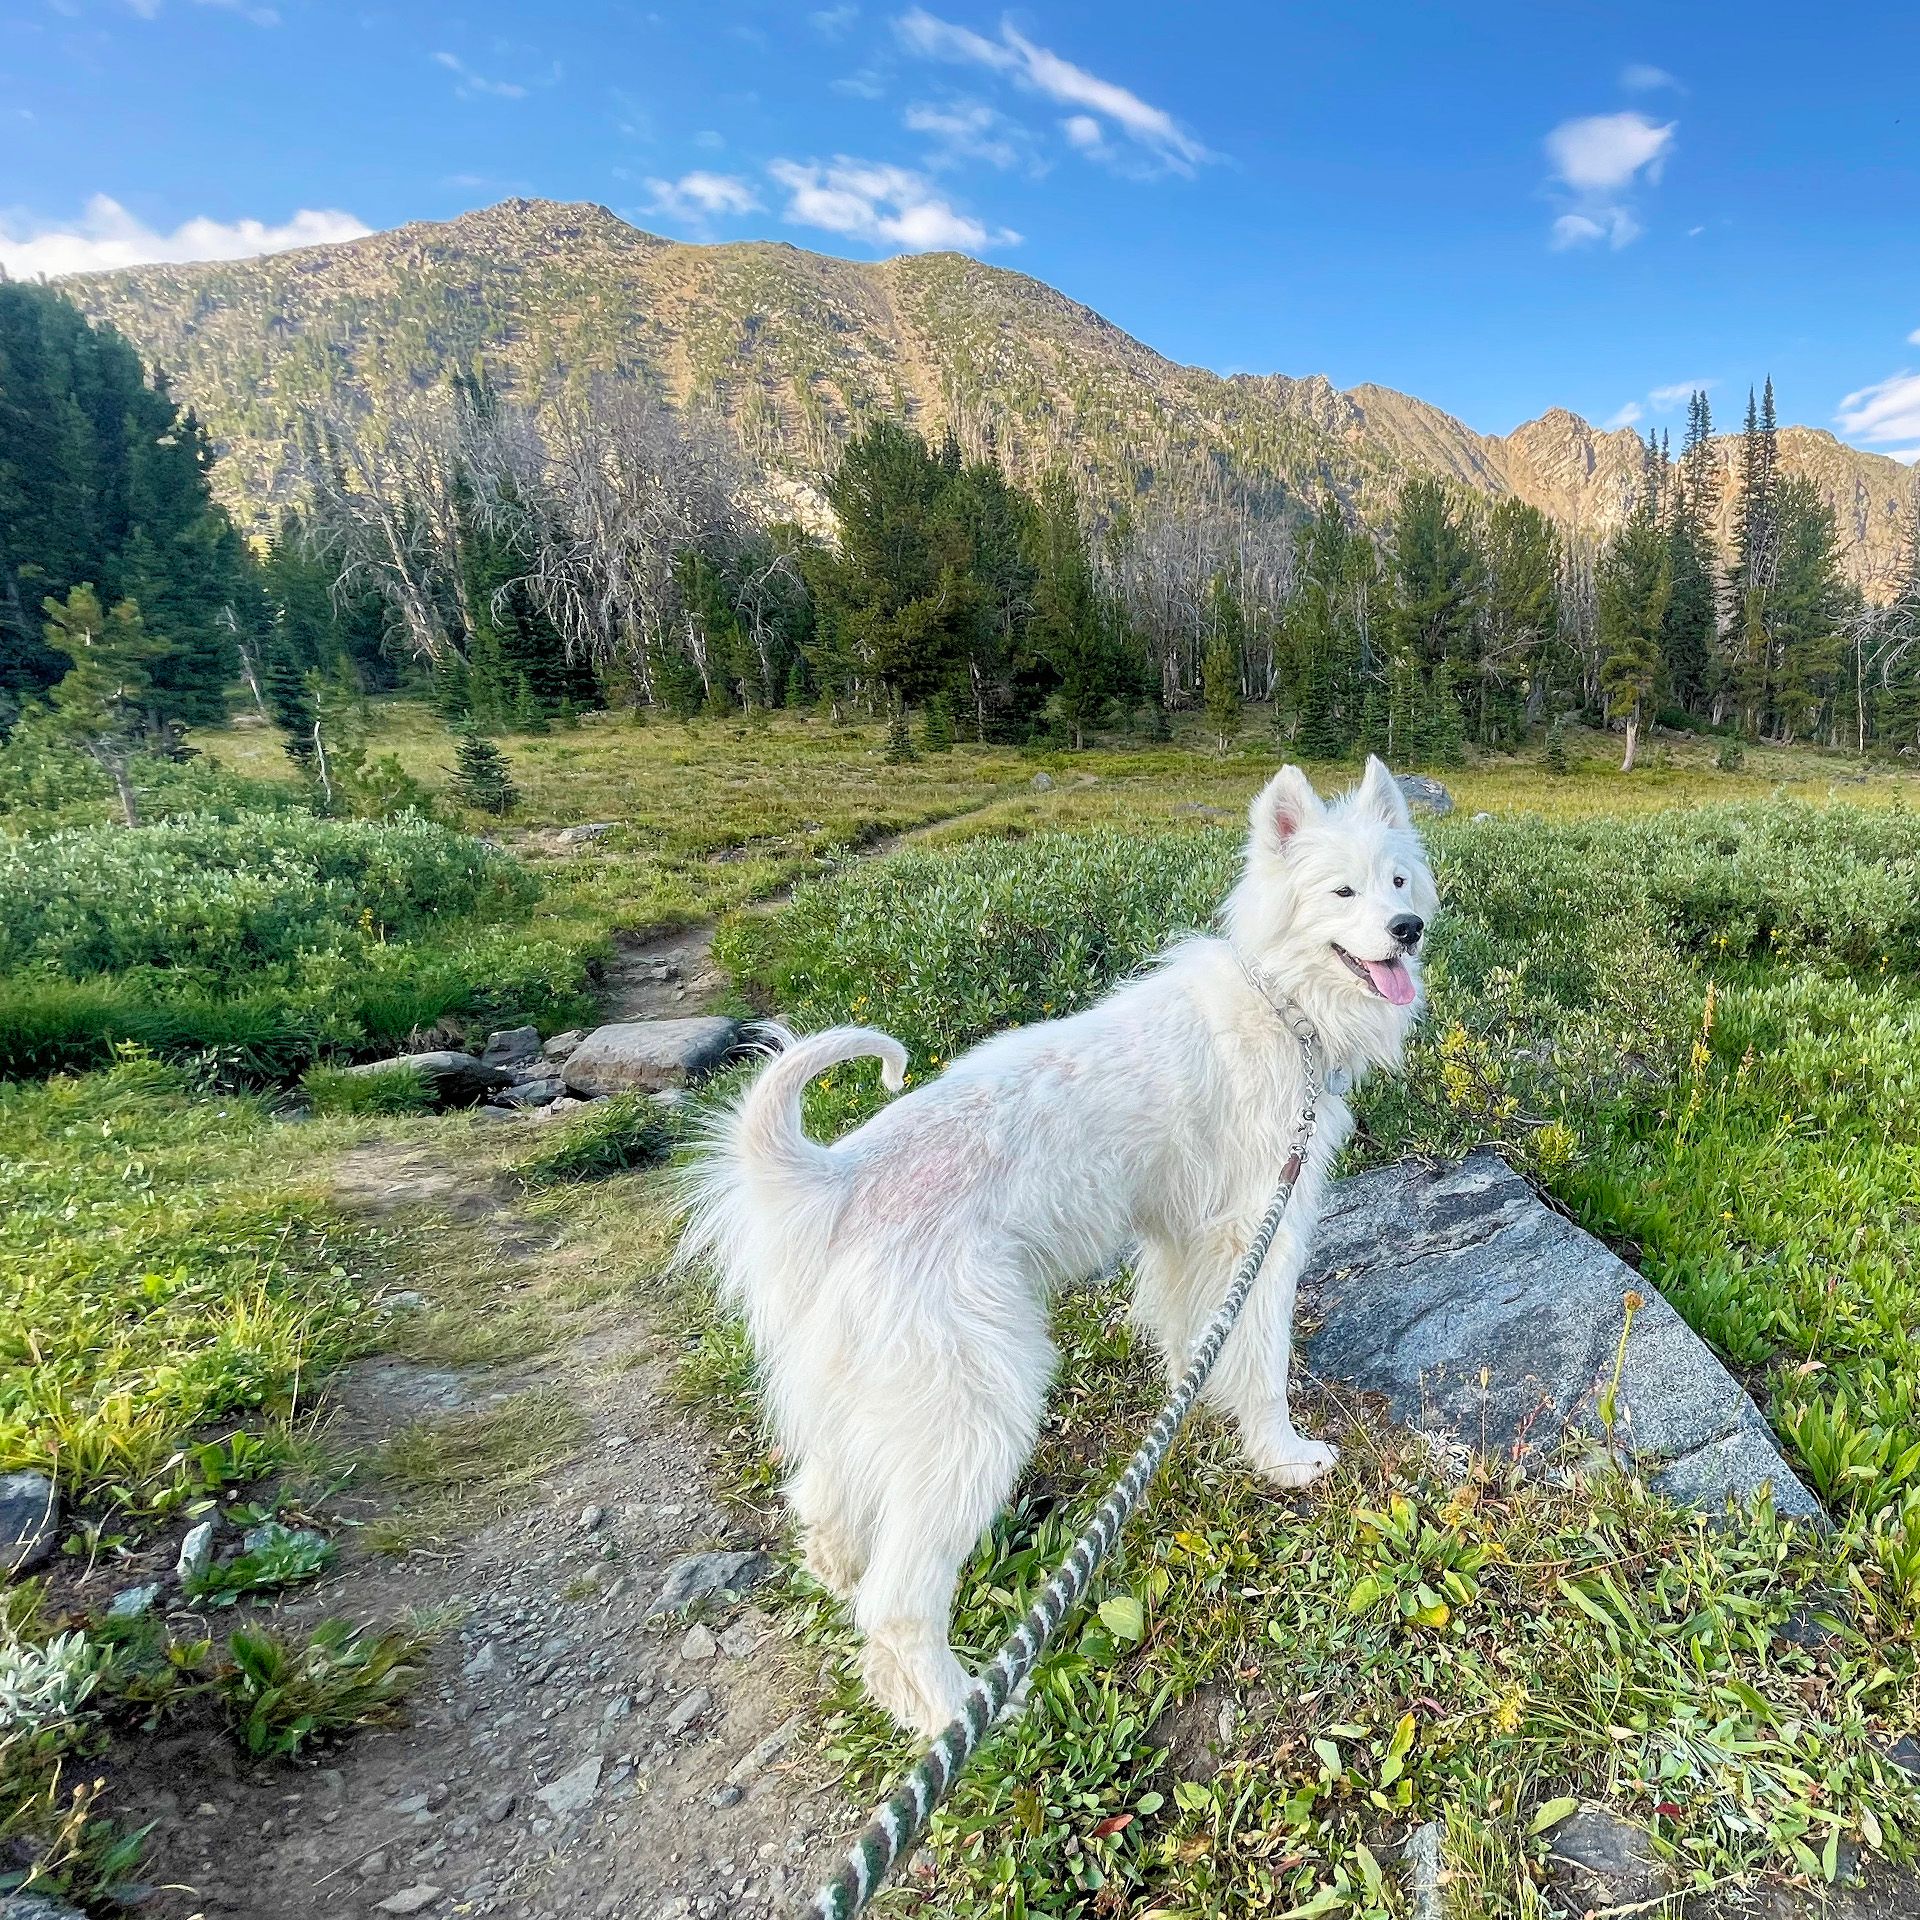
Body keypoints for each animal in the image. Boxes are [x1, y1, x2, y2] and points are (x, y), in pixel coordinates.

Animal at [683, 756, 1436, 1735]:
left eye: (1398, 881)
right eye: (1341, 891)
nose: (1408, 931)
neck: (1283, 1004)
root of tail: (837, 1180)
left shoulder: (1186, 1241)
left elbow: (1196, 1341)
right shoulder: (1260, 1232)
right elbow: (1263, 1359)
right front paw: (1283, 1457)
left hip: (871, 1405)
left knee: (823, 1507)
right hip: (976, 1406)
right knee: (897, 1605)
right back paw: (968, 1713)